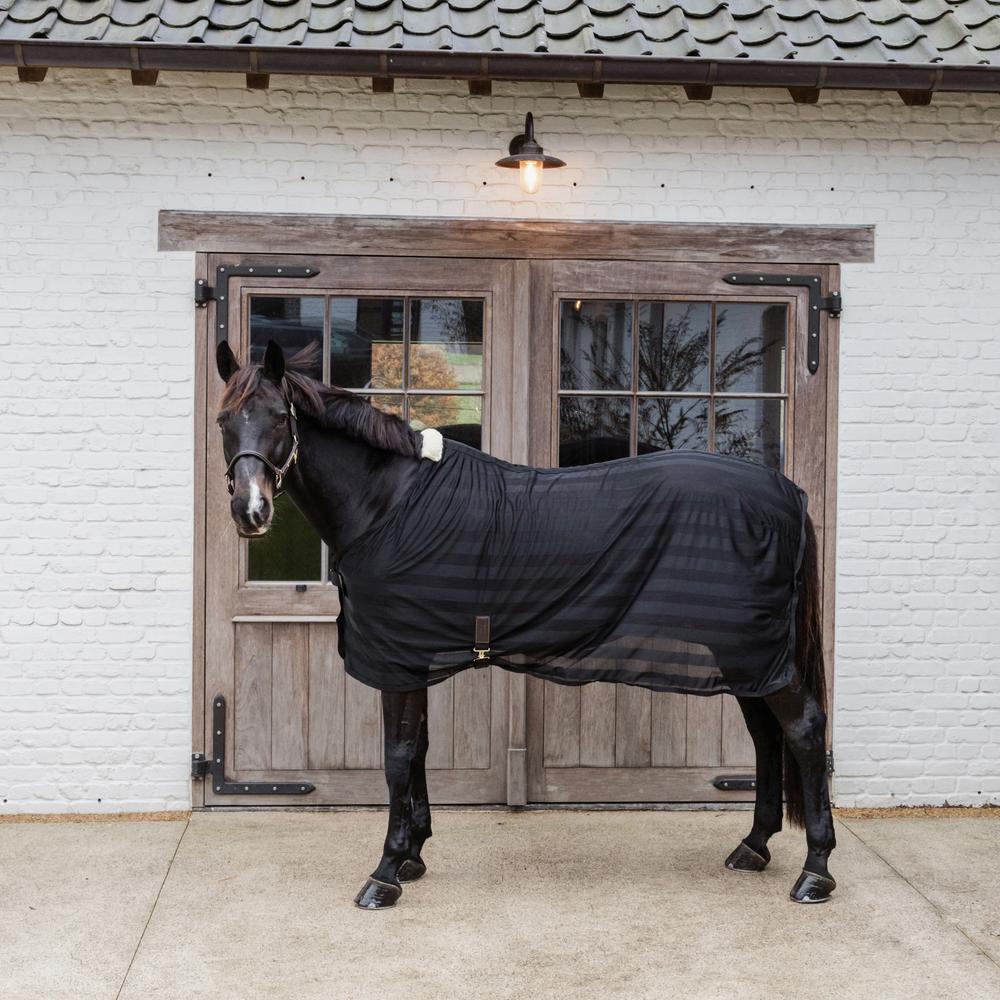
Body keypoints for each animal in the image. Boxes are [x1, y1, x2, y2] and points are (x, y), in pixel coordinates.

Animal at [214, 339, 837, 909]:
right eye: (224, 420)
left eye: (279, 418)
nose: (250, 512)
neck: (387, 503)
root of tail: (787, 492)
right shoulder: (414, 656)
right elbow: (418, 750)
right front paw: (414, 853)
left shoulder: (397, 658)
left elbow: (396, 757)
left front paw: (386, 872)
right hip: (747, 654)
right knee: (766, 735)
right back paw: (754, 846)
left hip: (756, 652)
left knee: (803, 728)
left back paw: (816, 871)